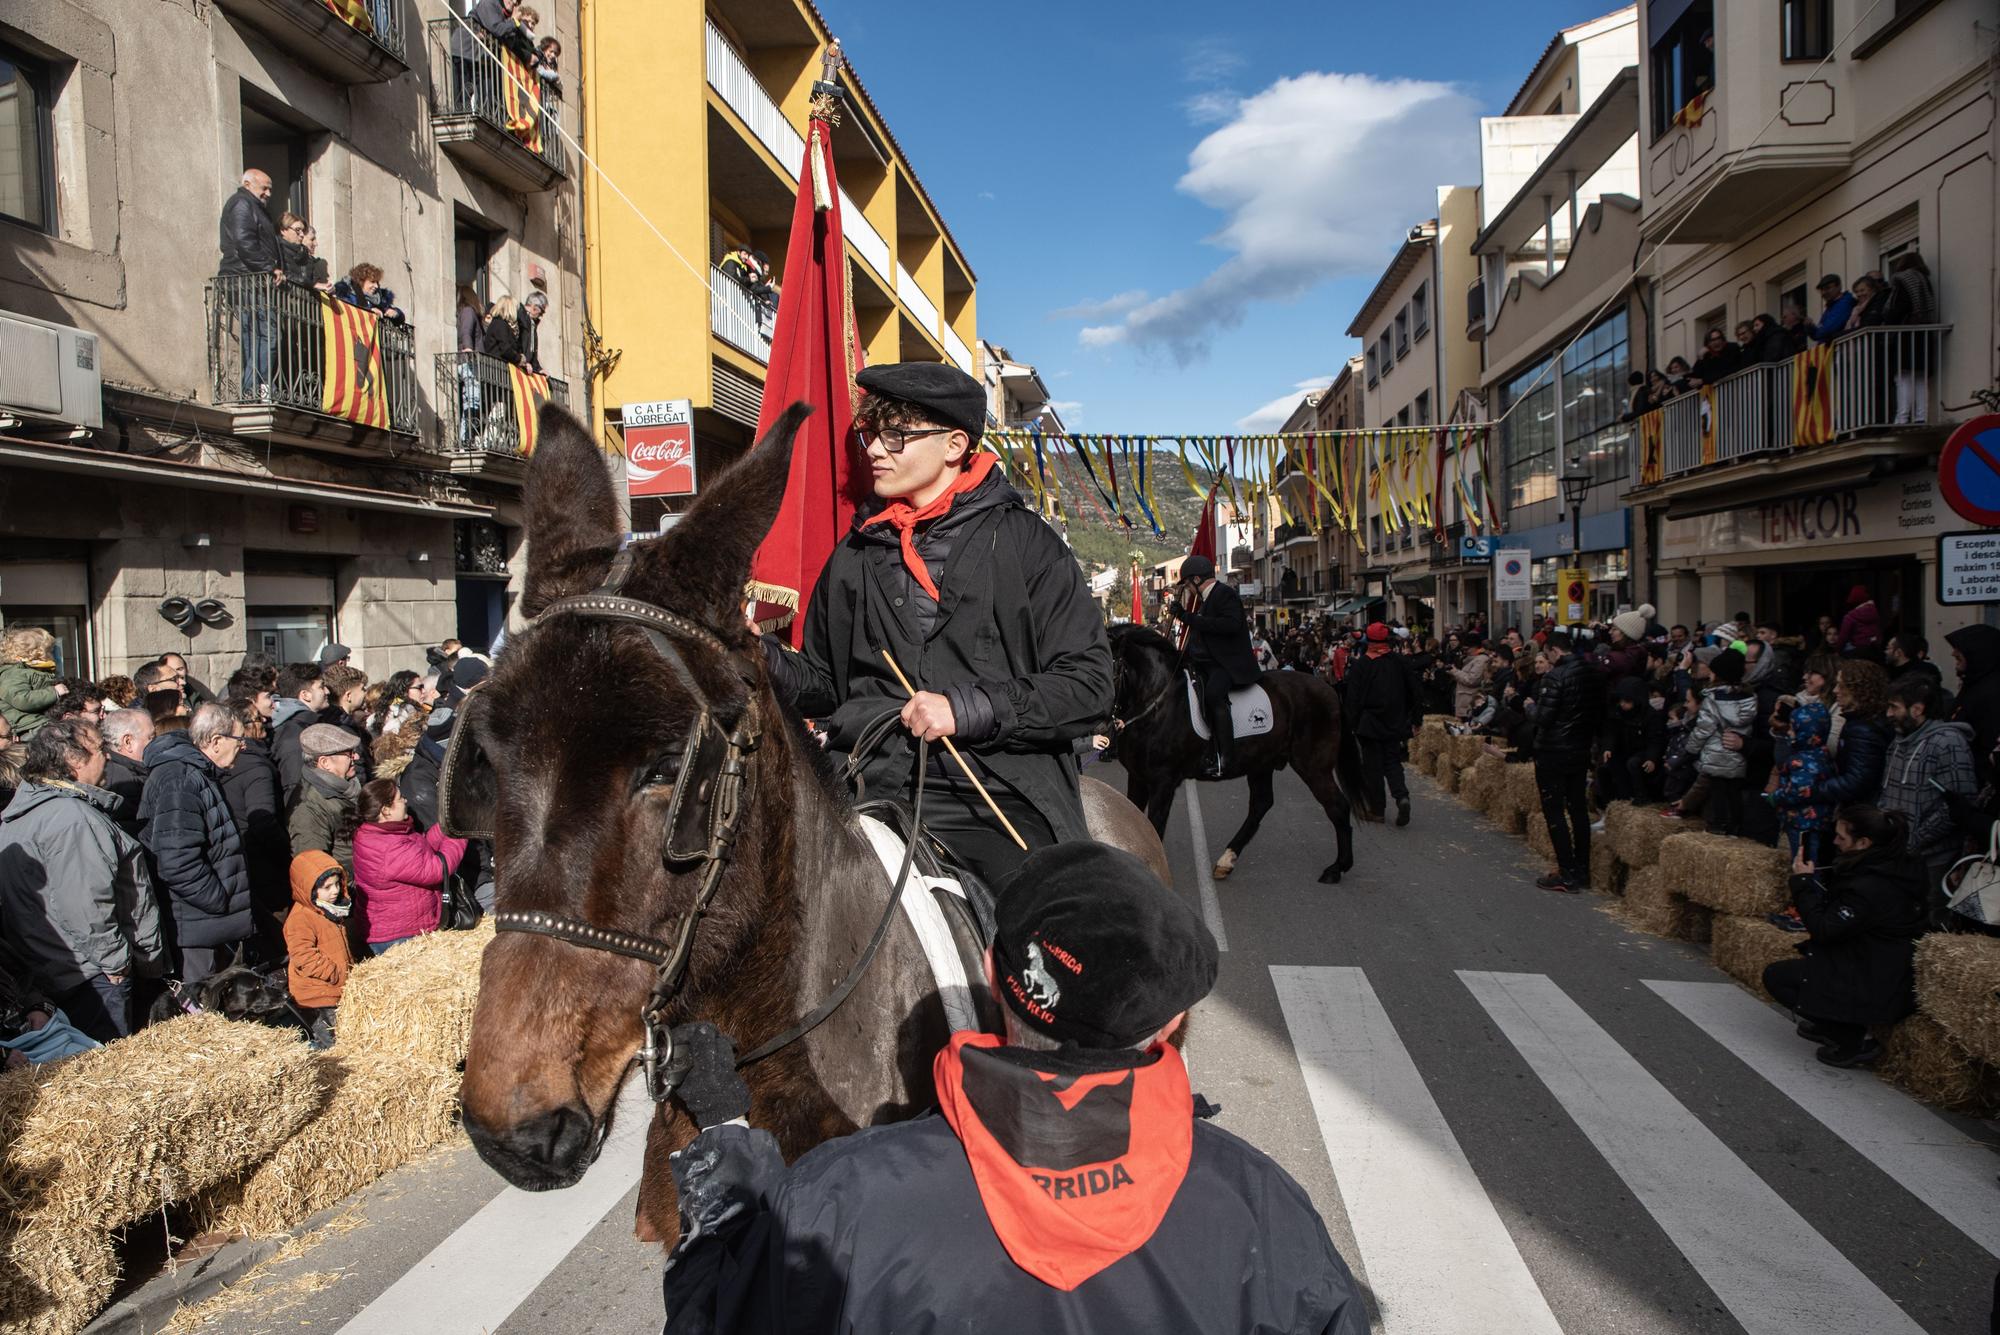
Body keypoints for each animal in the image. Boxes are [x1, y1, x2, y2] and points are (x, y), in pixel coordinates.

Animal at [1112, 627, 1376, 887]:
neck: (1159, 703)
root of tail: (1330, 690)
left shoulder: (1163, 782)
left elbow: (1152, 825)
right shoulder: (1138, 777)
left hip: (1313, 766)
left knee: (1337, 806)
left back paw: (1337, 868)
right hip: (1262, 762)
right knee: (1262, 804)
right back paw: (1227, 860)